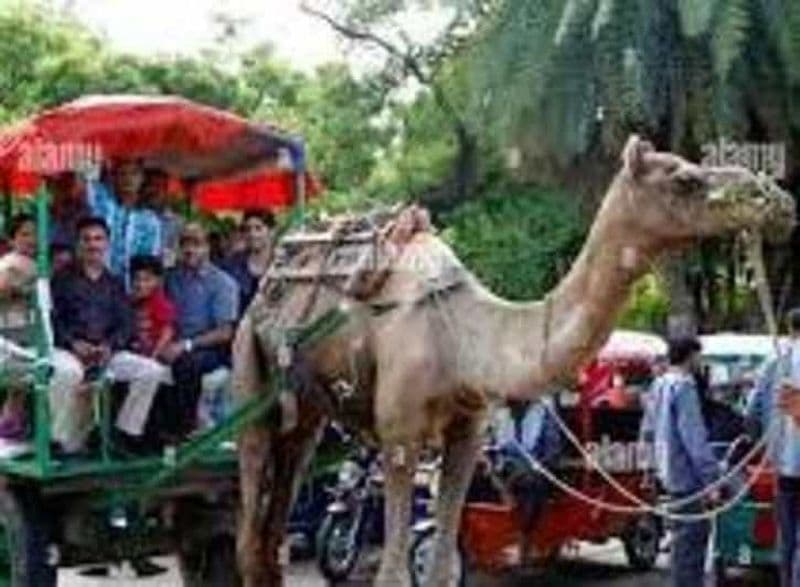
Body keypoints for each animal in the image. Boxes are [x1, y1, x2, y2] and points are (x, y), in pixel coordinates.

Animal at [232, 135, 795, 587]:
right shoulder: (399, 433)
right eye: (685, 179)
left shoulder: (467, 430)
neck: (464, 337)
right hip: (249, 367)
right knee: (250, 504)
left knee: (275, 518)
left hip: (307, 410)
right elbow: (394, 572)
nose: (776, 200)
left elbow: (441, 566)